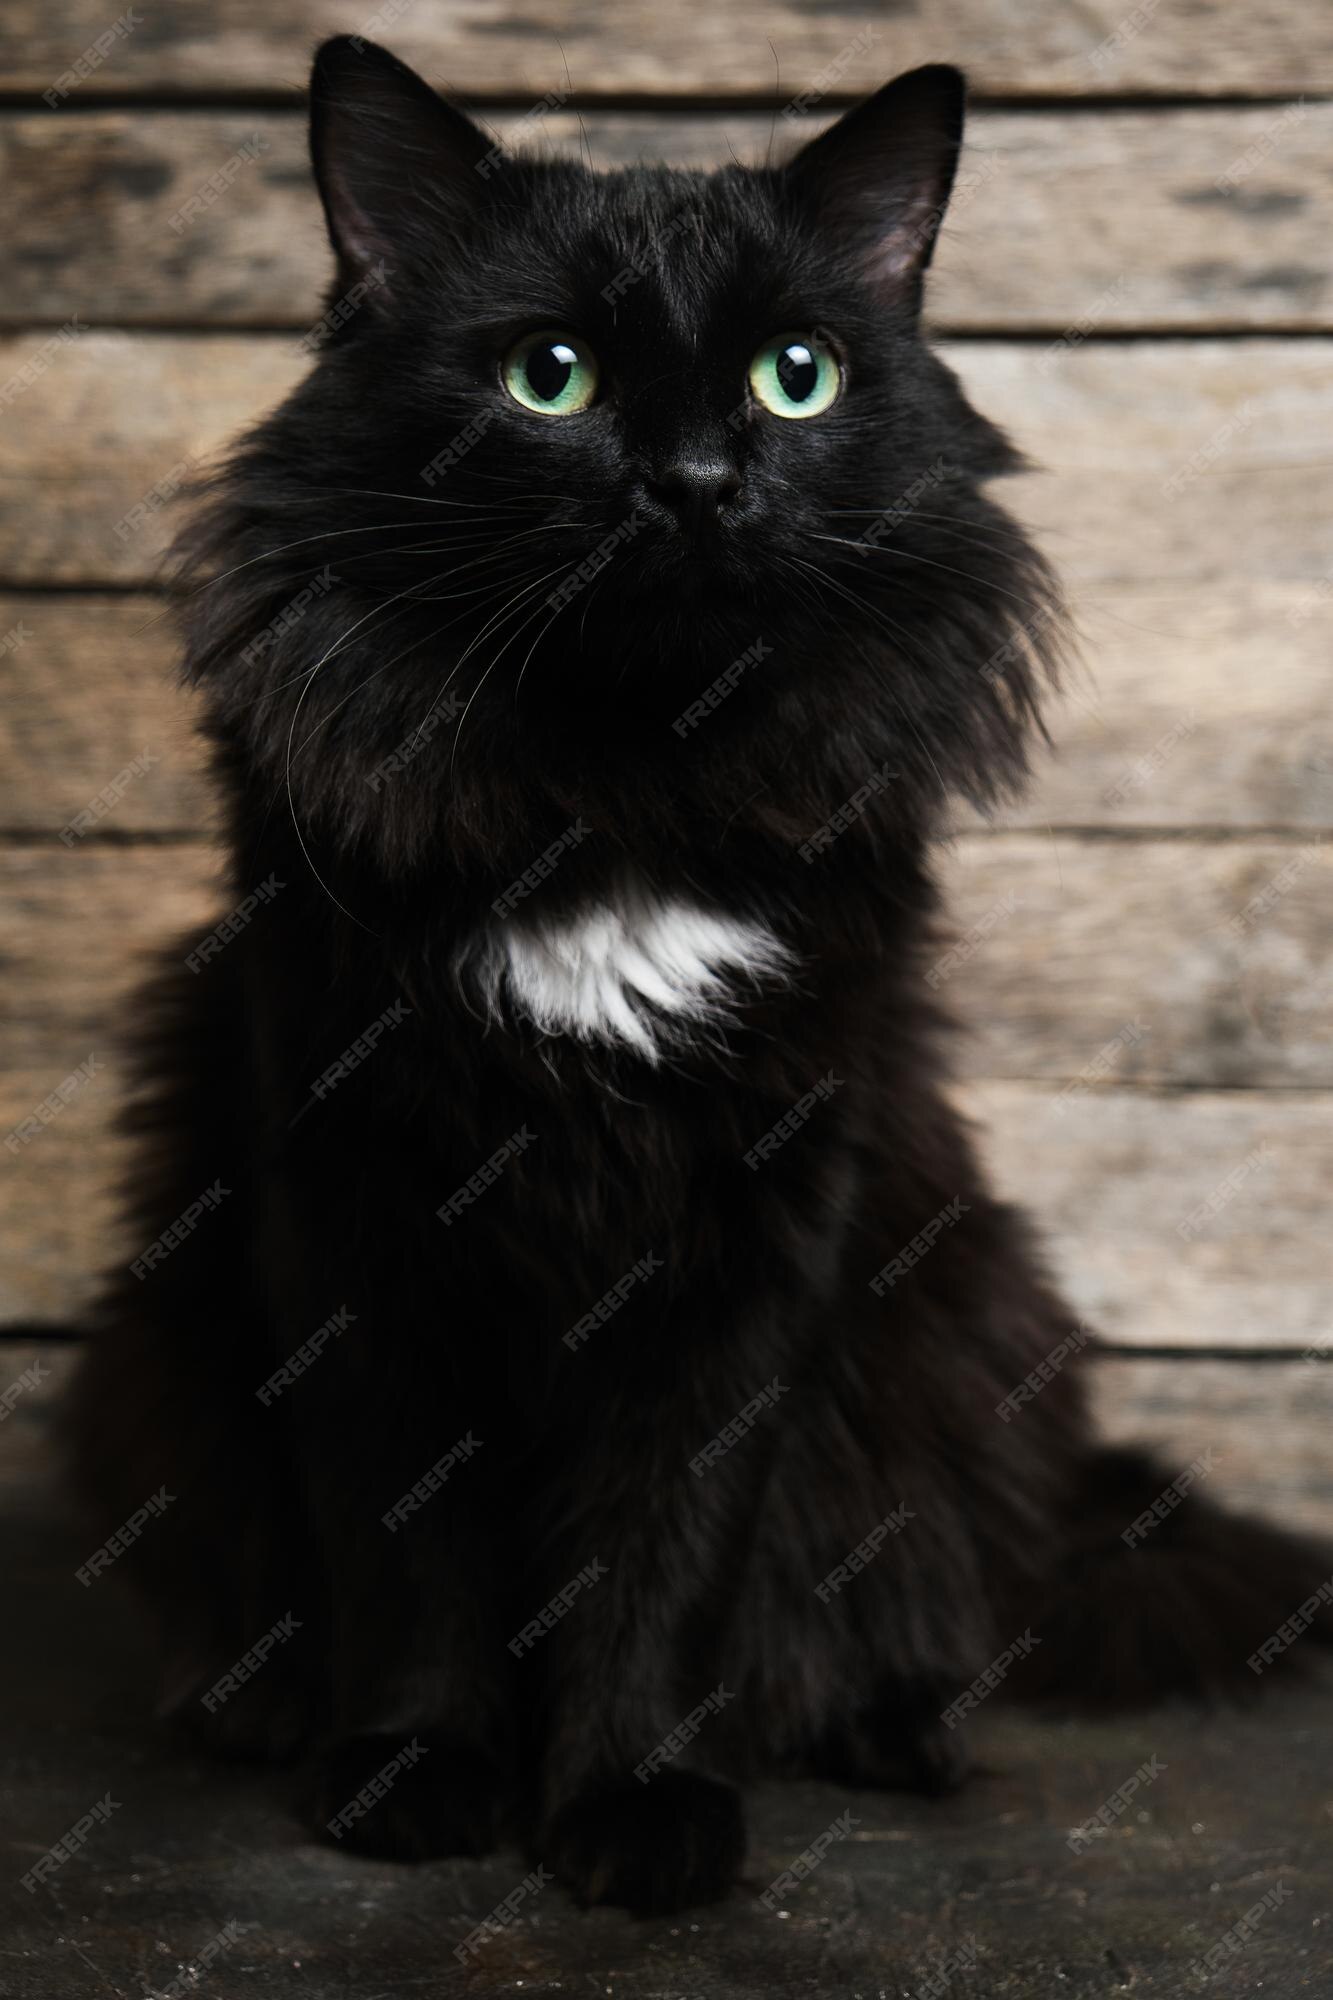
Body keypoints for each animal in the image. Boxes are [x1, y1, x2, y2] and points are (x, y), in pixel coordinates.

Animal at [70, 39, 1328, 1912]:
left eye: (794, 379)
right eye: (550, 378)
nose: (692, 481)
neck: (619, 798)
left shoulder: (761, 1213)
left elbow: (669, 1546)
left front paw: (634, 1806)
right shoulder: (350, 1192)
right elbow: (401, 1535)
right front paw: (419, 1774)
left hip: (952, 1313)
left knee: (904, 1580)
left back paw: (898, 1729)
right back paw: (263, 1709)